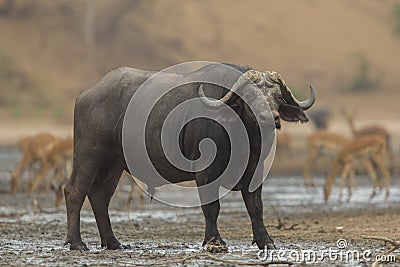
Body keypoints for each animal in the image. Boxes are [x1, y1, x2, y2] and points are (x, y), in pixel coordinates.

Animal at [65, 63, 316, 252]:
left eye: (277, 96)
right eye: (249, 96)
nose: (270, 117)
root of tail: (85, 95)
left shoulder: (255, 171)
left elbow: (256, 206)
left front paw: (266, 241)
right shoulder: (205, 172)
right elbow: (212, 207)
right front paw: (214, 241)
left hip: (113, 163)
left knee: (100, 197)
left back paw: (113, 242)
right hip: (89, 154)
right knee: (75, 191)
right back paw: (77, 243)